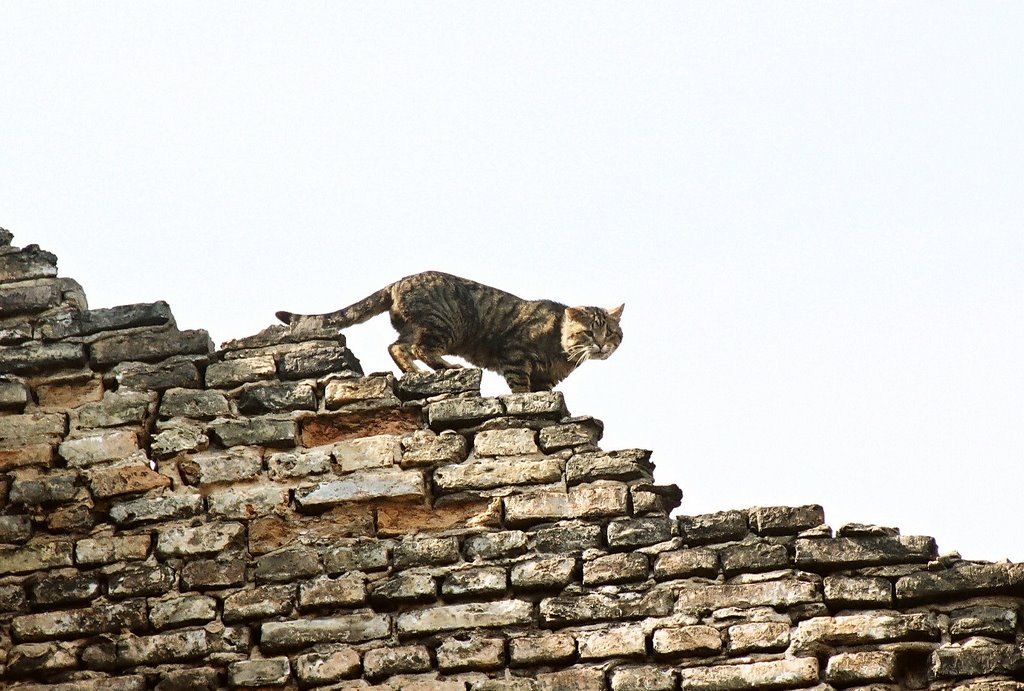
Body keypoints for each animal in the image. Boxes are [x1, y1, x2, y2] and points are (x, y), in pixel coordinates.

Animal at [274, 274, 622, 395]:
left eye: (611, 333)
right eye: (588, 332)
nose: (601, 344)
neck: (562, 353)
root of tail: (398, 282)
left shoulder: (547, 379)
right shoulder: (515, 356)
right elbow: (521, 388)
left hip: (418, 327)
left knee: (397, 347)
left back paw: (421, 372)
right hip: (444, 325)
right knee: (415, 349)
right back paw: (442, 368)